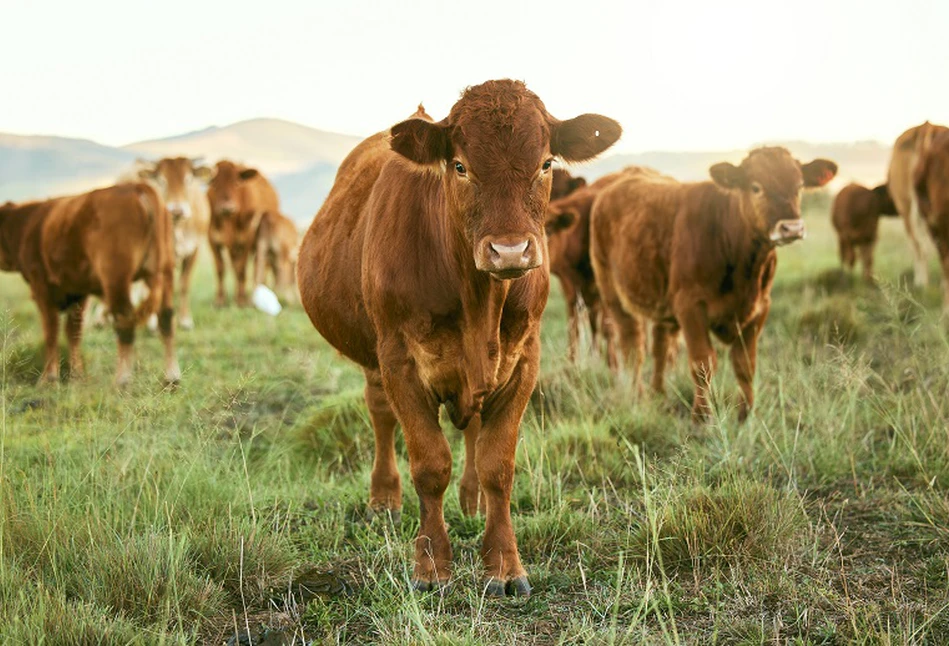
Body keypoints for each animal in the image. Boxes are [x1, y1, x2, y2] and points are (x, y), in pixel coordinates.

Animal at [0, 184, 180, 384]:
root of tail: (135, 187)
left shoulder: (42, 288)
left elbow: (51, 332)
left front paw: (49, 379)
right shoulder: (78, 291)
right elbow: (73, 332)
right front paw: (76, 376)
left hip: (116, 279)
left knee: (125, 320)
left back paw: (122, 381)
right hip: (166, 273)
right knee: (165, 318)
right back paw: (172, 378)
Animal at [206, 159, 280, 306]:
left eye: (237, 183)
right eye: (214, 184)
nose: (227, 207)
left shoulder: (246, 240)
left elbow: (241, 269)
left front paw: (241, 300)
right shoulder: (213, 240)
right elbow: (220, 269)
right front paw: (220, 300)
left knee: (261, 266)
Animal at [298, 79, 624, 596]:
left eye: (546, 163)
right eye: (460, 166)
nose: (509, 250)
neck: (478, 303)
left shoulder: (523, 361)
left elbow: (498, 465)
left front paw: (505, 566)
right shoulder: (400, 361)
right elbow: (430, 465)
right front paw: (431, 566)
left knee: (471, 429)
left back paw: (472, 501)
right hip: (373, 356)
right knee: (380, 414)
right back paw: (383, 499)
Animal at [592, 147, 836, 422]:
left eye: (800, 185)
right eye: (756, 187)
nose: (791, 227)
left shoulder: (760, 308)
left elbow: (745, 364)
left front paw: (745, 416)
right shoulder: (690, 306)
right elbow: (703, 363)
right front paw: (702, 417)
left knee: (660, 346)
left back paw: (658, 395)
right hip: (613, 294)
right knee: (632, 346)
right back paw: (638, 397)